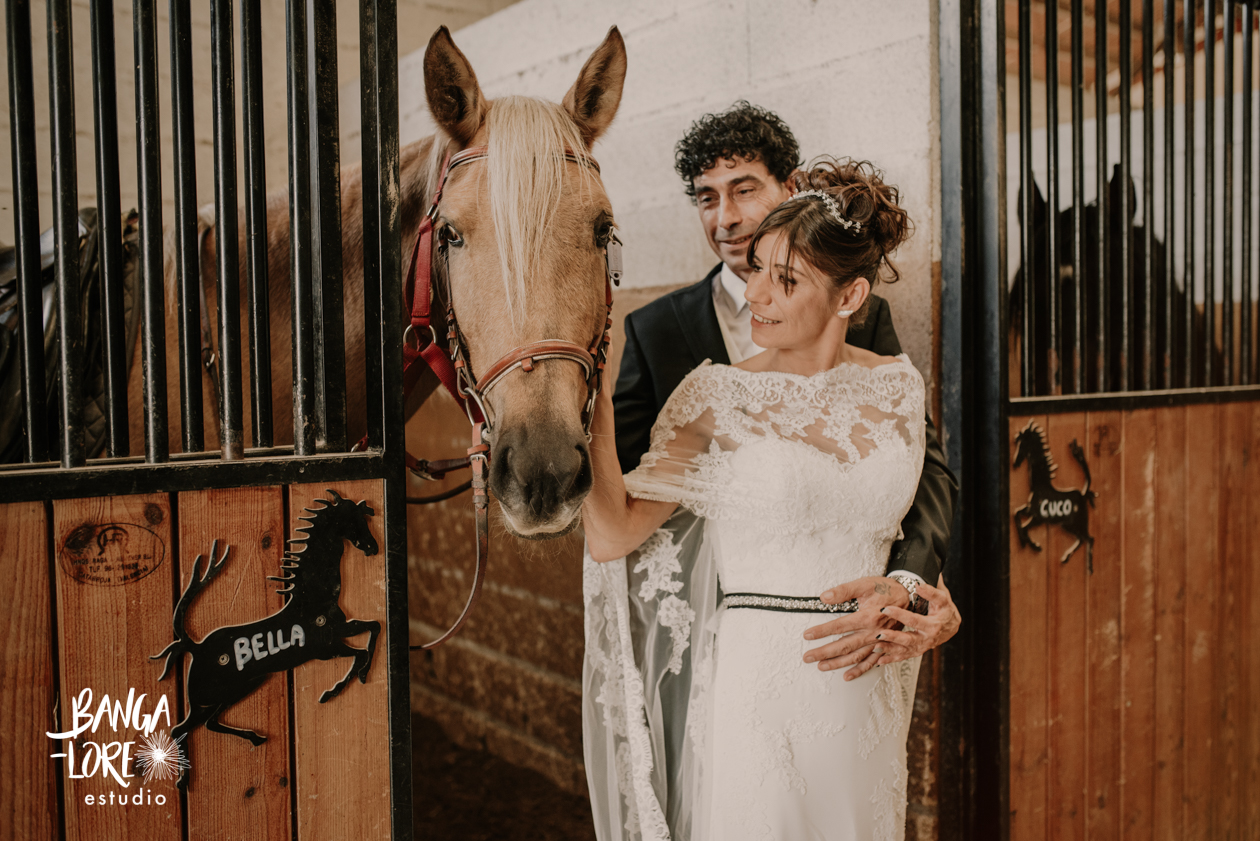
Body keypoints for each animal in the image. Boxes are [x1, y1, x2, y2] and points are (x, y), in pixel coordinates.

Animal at [153, 486, 378, 791]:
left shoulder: (339, 633)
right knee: (181, 728)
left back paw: (256, 738)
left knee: (209, 723)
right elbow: (362, 649)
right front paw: (337, 688)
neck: (313, 598)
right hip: (211, 695)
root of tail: (195, 648)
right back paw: (183, 779)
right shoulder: (326, 647)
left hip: (243, 686)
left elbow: (374, 627)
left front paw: (356, 678)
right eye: (354, 520)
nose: (373, 547)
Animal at [1008, 421, 1098, 572]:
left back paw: (1089, 567)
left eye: (1023, 444)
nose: (1015, 462)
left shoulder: (1038, 518)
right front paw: (1023, 542)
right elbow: (1017, 515)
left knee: (1089, 538)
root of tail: (1083, 493)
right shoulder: (1030, 510)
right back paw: (1068, 558)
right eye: (1018, 443)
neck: (1040, 485)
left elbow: (1024, 527)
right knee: (1083, 539)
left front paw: (1034, 546)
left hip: (1074, 523)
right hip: (1066, 525)